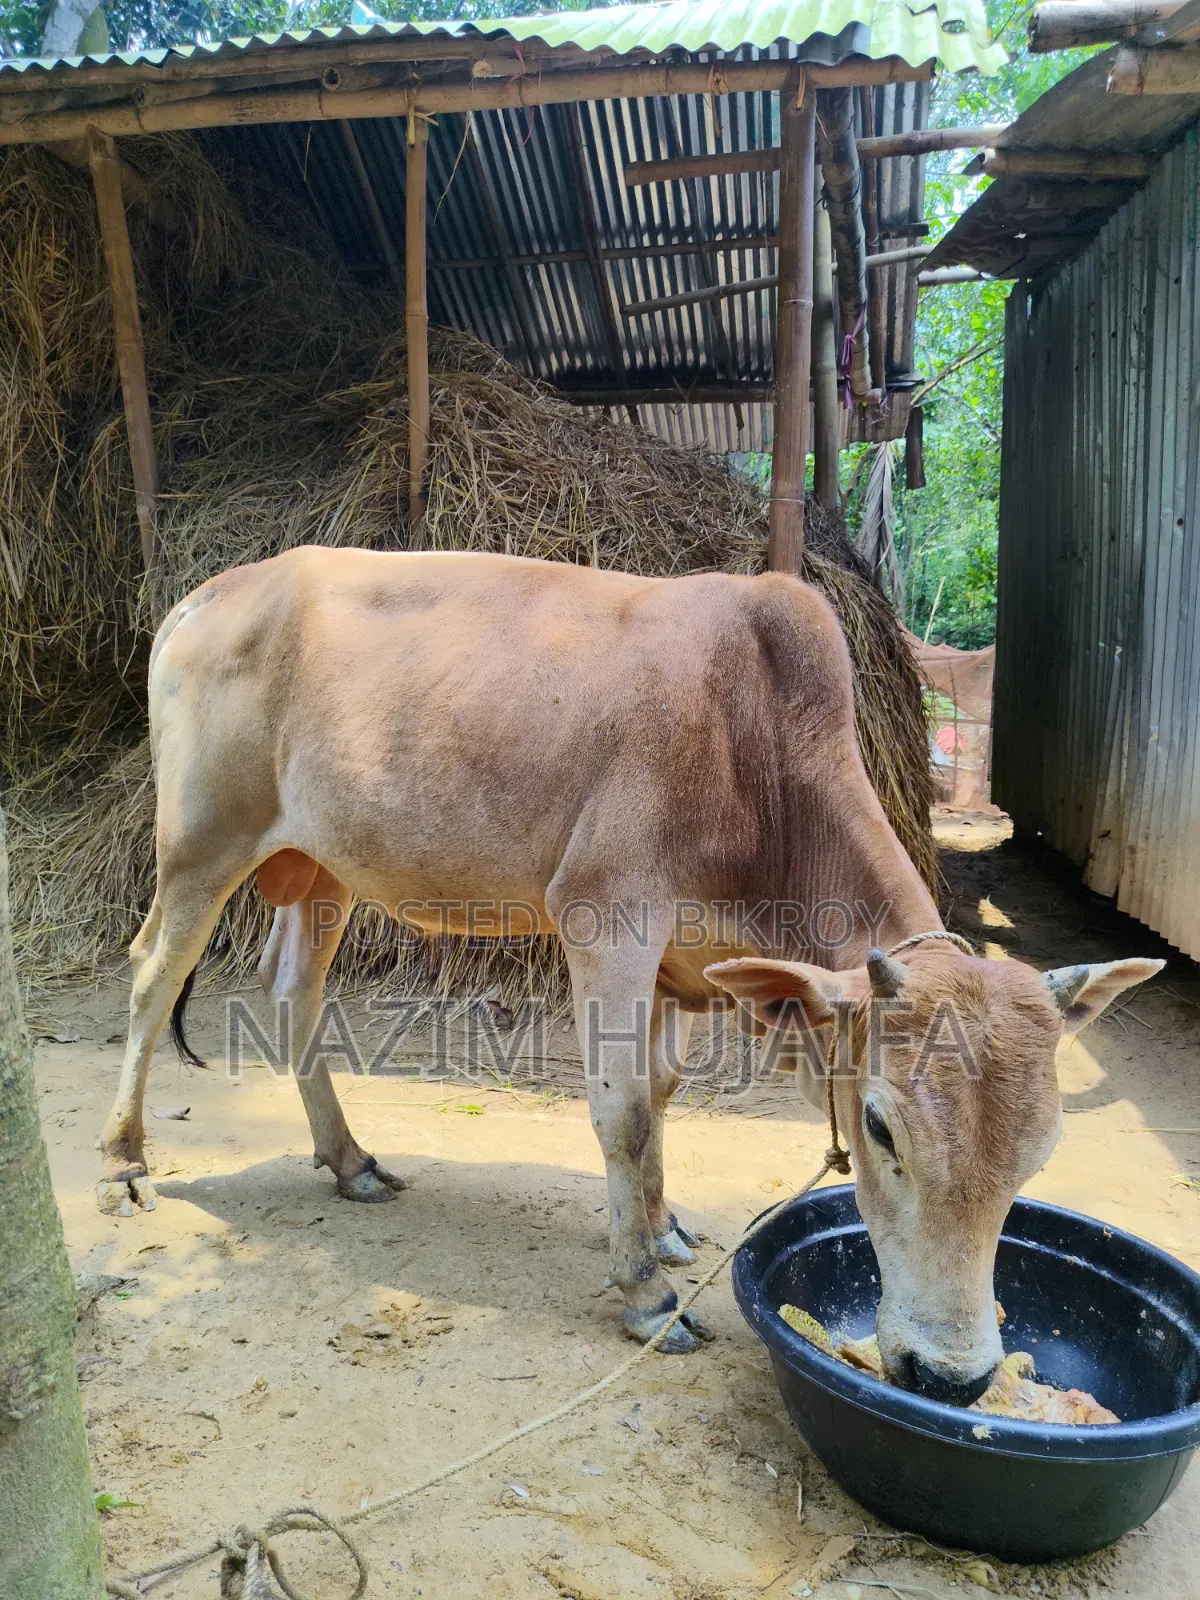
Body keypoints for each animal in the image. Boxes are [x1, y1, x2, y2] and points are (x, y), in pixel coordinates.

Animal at [98, 547, 1161, 1387]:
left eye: (1040, 1152)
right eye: (878, 1128)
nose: (952, 1377)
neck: (757, 750)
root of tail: (206, 596)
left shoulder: (681, 961)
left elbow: (663, 1089)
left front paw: (661, 1230)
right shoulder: (607, 918)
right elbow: (624, 1113)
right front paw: (645, 1292)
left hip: (322, 868)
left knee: (292, 991)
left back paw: (349, 1158)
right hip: (201, 842)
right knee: (152, 973)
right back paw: (124, 1160)